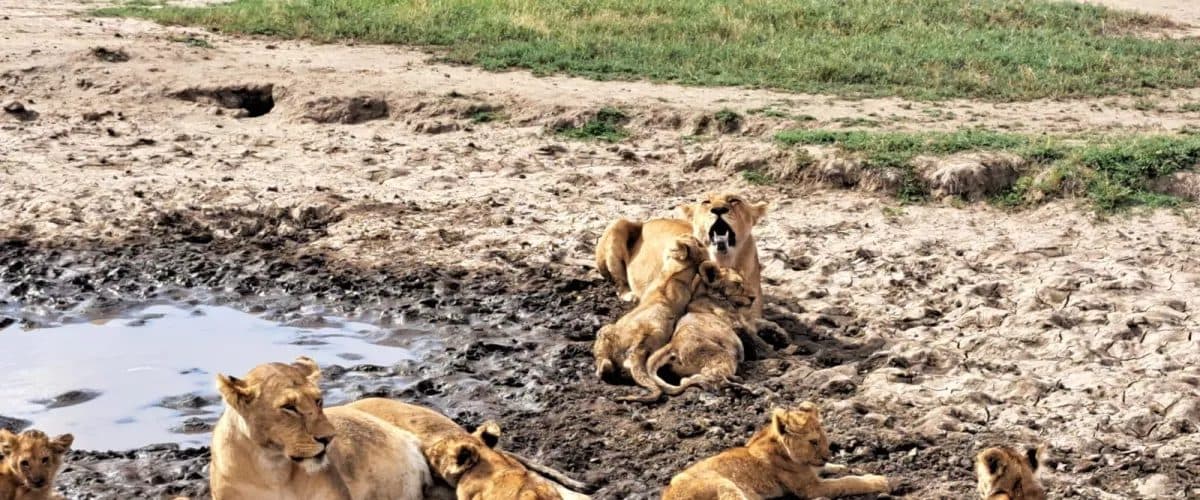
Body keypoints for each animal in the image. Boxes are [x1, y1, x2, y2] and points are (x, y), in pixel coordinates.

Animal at [593, 236, 706, 401]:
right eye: (697, 243)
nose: (697, 238)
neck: (669, 271)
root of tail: (635, 351)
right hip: (658, 334)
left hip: (605, 332)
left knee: (604, 361)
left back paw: (603, 370)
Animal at [595, 192, 767, 320]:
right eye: (706, 202)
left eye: (734, 200)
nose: (718, 209)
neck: (725, 260)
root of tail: (646, 221)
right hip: (618, 223)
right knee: (619, 282)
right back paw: (629, 295)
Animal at [642, 262, 755, 401]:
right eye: (737, 284)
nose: (753, 297)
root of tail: (673, 344)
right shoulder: (735, 324)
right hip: (722, 356)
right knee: (711, 377)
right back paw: (738, 387)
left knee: (686, 380)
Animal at [662, 403, 891, 500]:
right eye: (813, 441)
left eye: (824, 439)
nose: (827, 455)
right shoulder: (810, 488)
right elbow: (848, 482)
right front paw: (879, 480)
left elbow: (830, 470)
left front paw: (838, 465)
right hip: (725, 486)